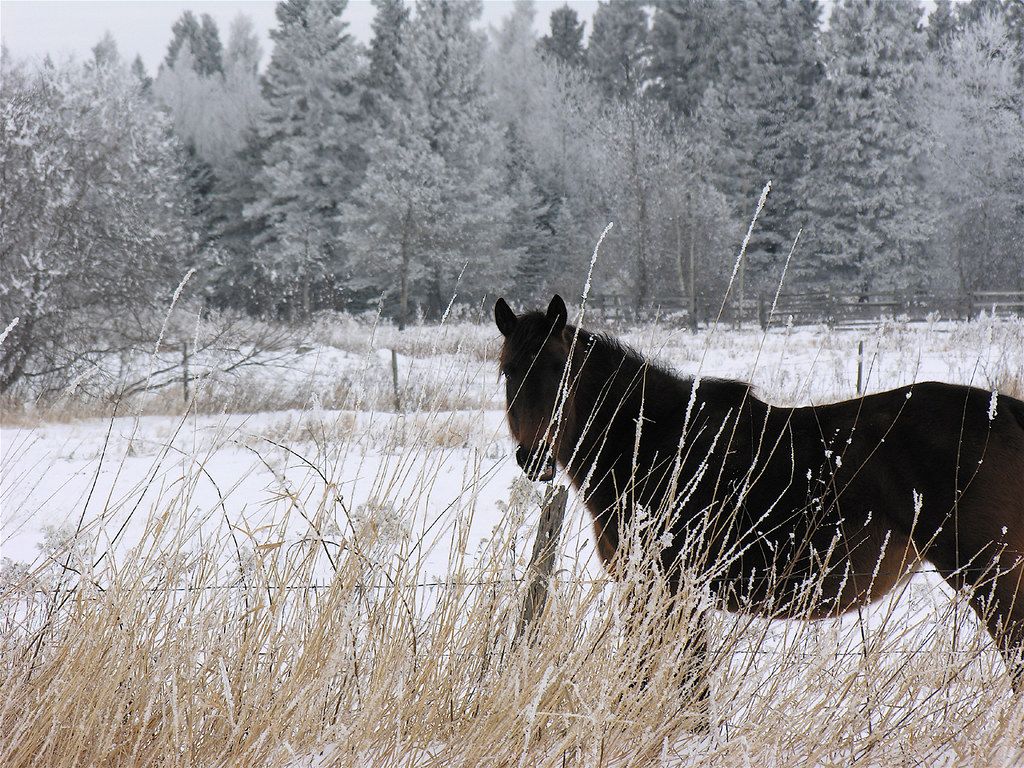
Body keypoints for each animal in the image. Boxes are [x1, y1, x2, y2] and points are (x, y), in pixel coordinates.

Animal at [495, 294, 1024, 692]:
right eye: (508, 371)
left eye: (561, 369)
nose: (534, 458)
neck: (656, 439)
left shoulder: (669, 588)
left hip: (990, 575)